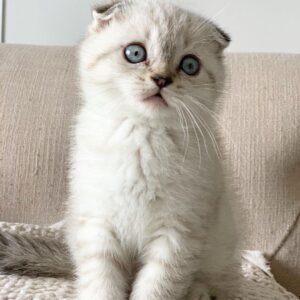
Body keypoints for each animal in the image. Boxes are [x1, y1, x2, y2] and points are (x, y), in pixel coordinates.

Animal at [0, 0, 239, 300]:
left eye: (190, 65)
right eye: (135, 53)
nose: (161, 79)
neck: (142, 137)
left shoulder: (177, 232)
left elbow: (156, 288)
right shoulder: (98, 224)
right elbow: (103, 284)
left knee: (216, 278)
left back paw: (200, 292)